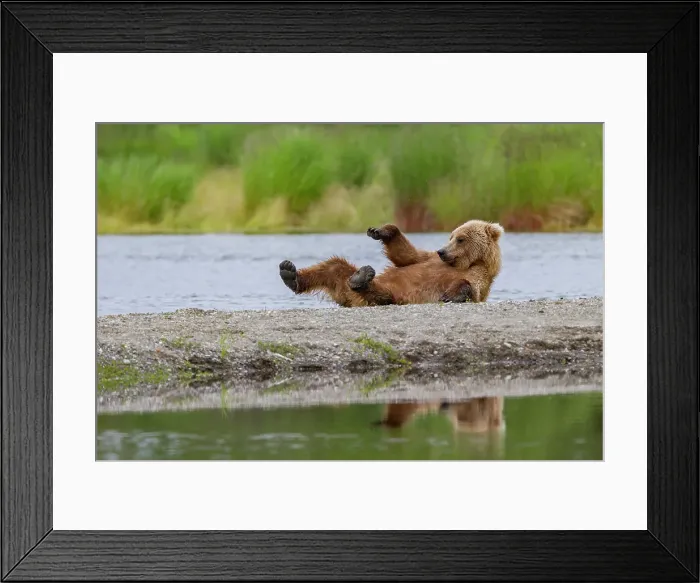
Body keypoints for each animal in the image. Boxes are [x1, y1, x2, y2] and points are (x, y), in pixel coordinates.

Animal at [279, 219, 504, 307]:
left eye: (461, 239)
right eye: (451, 236)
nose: (442, 251)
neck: (465, 263)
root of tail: (350, 297)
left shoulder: (480, 275)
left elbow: (471, 288)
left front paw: (451, 295)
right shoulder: (427, 257)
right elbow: (406, 255)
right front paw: (380, 231)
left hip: (394, 294)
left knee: (380, 294)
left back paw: (361, 278)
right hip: (342, 281)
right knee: (334, 265)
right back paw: (290, 273)